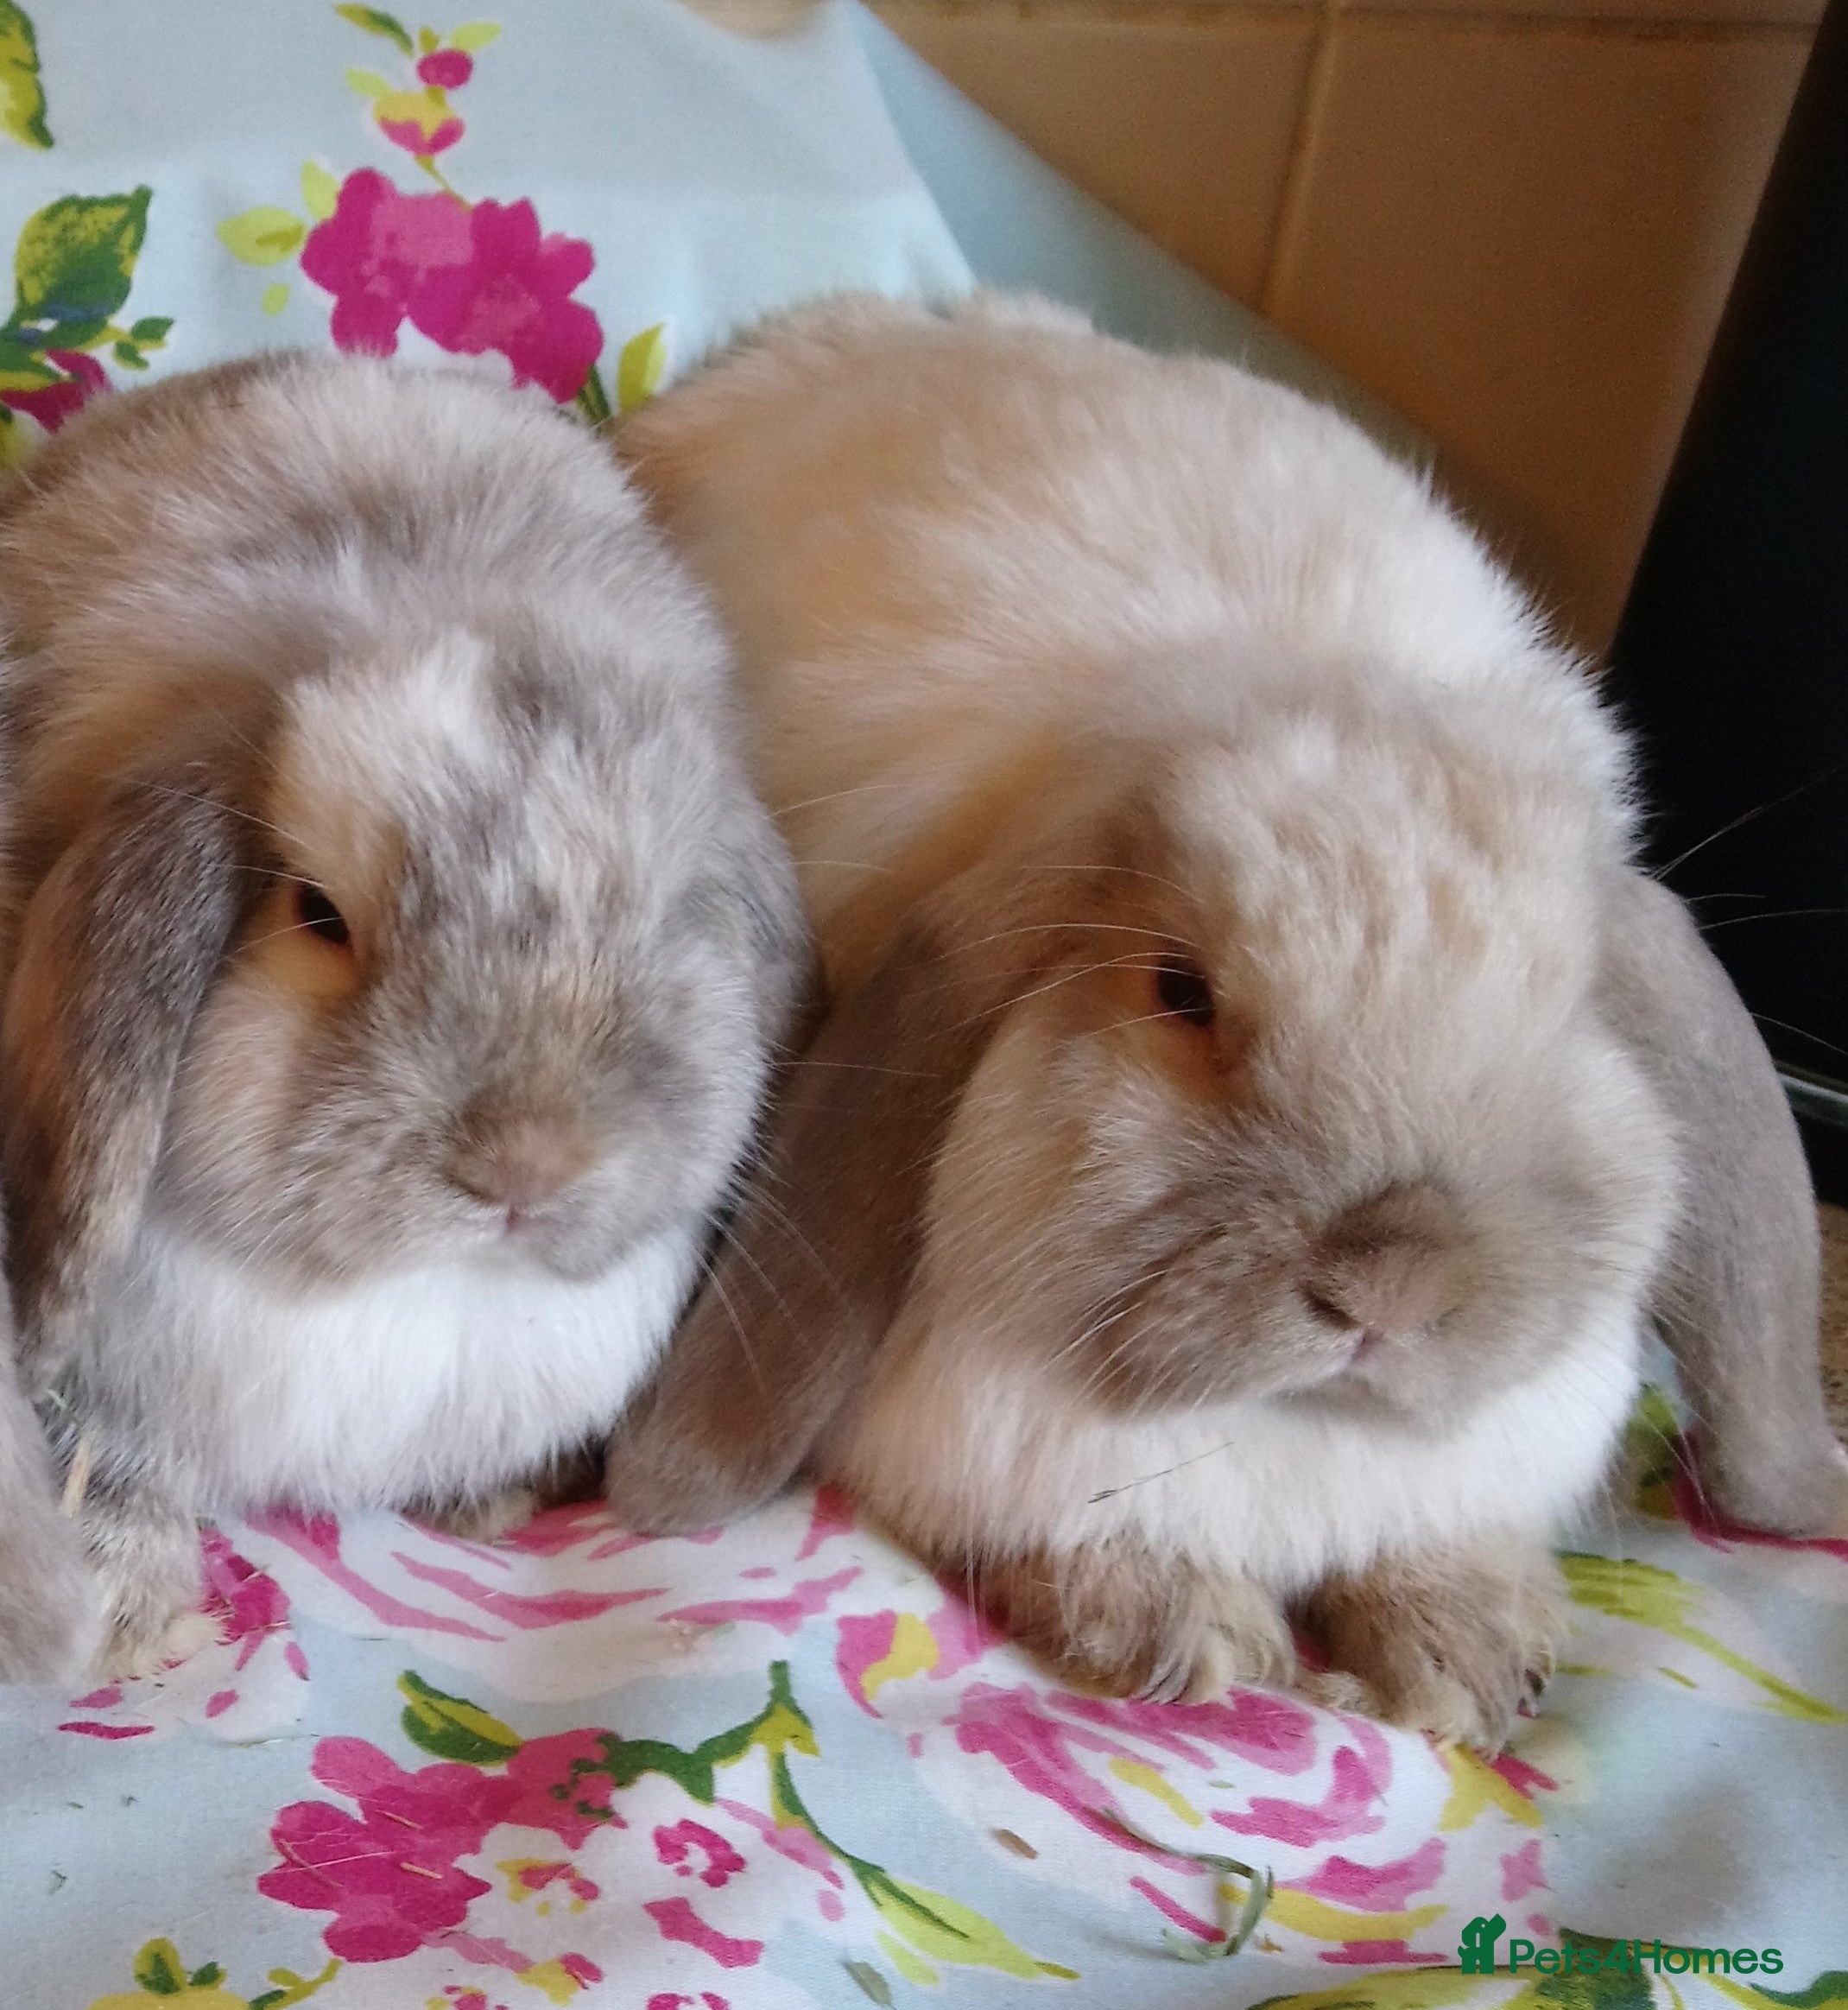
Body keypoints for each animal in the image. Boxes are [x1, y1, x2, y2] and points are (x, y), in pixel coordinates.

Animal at [0, 353, 807, 1674]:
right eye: (317, 913)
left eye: (672, 913)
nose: (527, 1166)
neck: (410, 1291)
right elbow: (117, 1469)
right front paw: (124, 1608)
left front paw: (494, 1500)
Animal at [602, 294, 1844, 1747]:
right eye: (1181, 990)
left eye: (1572, 1002)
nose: (1394, 1281)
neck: (1296, 1430)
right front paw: (1182, 1631)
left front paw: (1469, 1657)